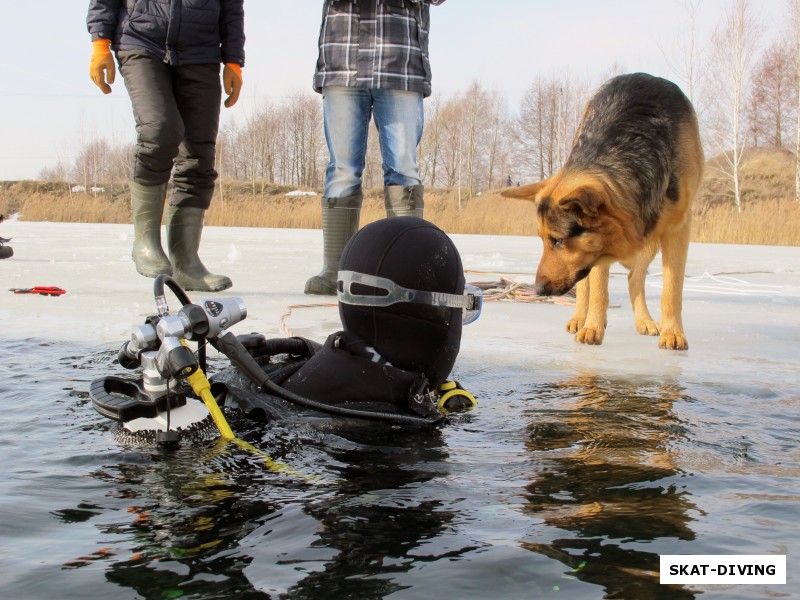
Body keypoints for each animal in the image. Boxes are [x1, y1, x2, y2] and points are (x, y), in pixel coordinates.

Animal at [504, 72, 704, 350]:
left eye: (557, 240)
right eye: (543, 241)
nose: (539, 290)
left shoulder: (677, 229)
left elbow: (672, 289)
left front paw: (673, 332)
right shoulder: (600, 246)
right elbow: (598, 289)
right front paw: (592, 327)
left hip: (650, 237)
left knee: (634, 278)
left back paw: (645, 321)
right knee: (587, 286)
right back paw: (580, 318)